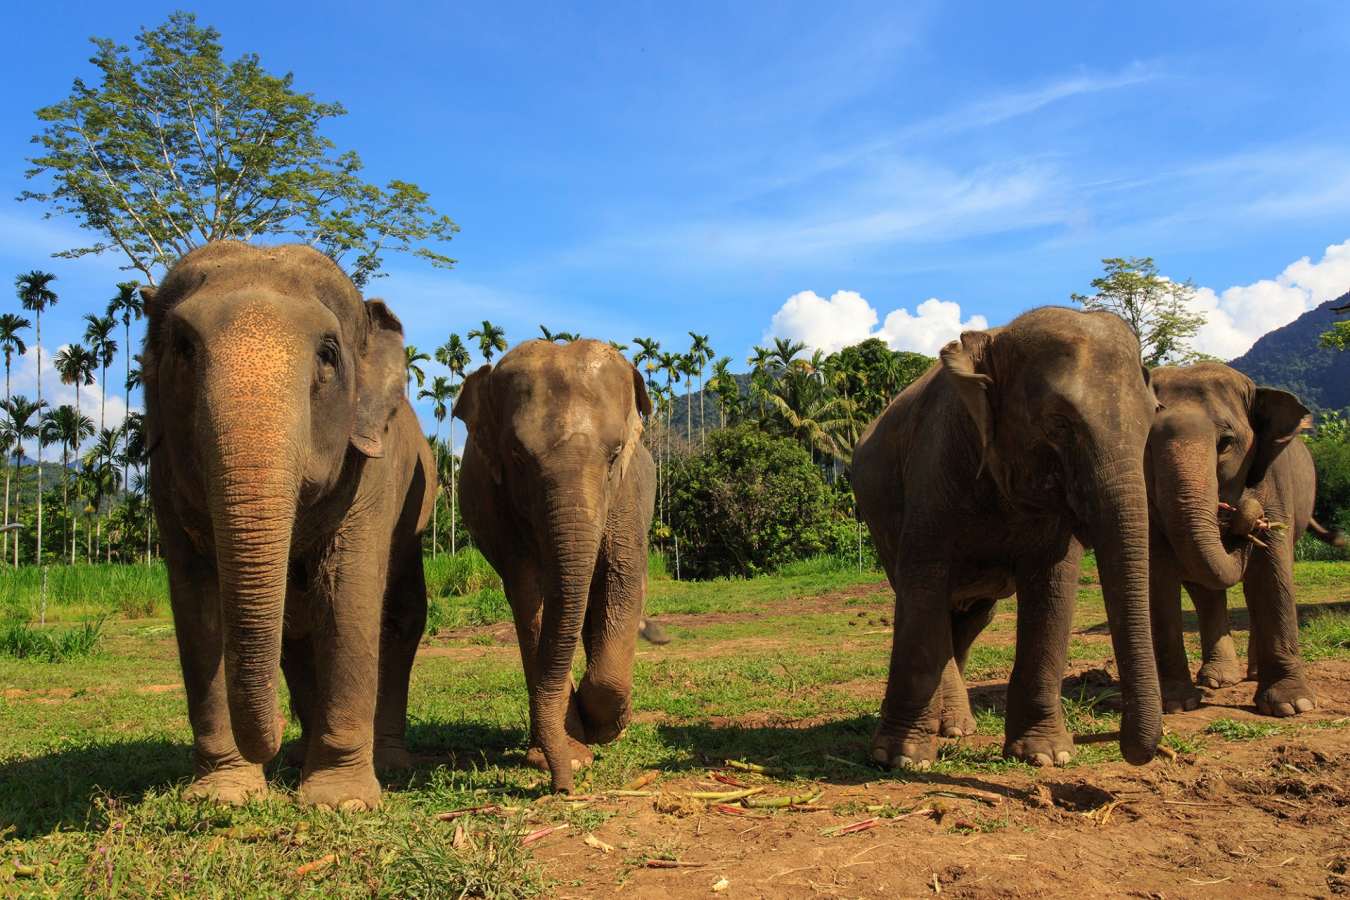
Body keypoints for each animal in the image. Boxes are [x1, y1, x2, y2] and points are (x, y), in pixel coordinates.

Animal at [144, 242, 435, 809]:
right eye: (183, 349)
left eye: (328, 354)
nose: (275, 734)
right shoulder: (163, 478)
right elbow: (197, 604)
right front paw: (224, 795)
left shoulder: (371, 471)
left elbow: (348, 597)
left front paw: (340, 801)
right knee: (295, 629)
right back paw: (301, 756)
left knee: (399, 617)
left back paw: (385, 760)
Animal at [454, 339, 657, 792]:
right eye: (516, 454)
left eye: (615, 453)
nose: (563, 787)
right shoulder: (501, 510)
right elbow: (530, 596)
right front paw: (576, 754)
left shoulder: (627, 496)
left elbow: (622, 579)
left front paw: (608, 728)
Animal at [851, 307, 1163, 770]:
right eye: (1059, 423)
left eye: (1152, 418)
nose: (1123, 744)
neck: (995, 340)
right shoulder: (934, 460)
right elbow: (923, 580)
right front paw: (900, 759)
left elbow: (1053, 588)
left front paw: (1047, 756)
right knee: (927, 602)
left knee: (973, 617)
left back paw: (956, 727)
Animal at [1146, 362, 1339, 717]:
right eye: (1147, 446)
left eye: (1225, 442)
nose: (1250, 518)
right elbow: (1159, 574)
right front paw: (1176, 704)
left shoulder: (1273, 481)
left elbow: (1272, 571)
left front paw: (1292, 705)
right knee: (1207, 593)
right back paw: (1217, 680)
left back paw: (1254, 674)